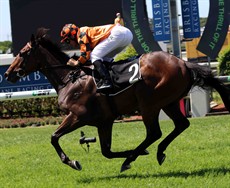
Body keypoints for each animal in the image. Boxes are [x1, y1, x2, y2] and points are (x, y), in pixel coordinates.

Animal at [4, 27, 230, 172]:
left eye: (22, 53)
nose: (8, 74)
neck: (71, 78)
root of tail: (183, 63)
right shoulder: (104, 121)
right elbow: (106, 151)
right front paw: (136, 153)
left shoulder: (78, 116)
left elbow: (54, 137)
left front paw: (73, 162)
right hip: (169, 102)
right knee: (181, 124)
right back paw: (156, 153)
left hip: (149, 103)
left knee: (154, 132)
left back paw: (132, 158)